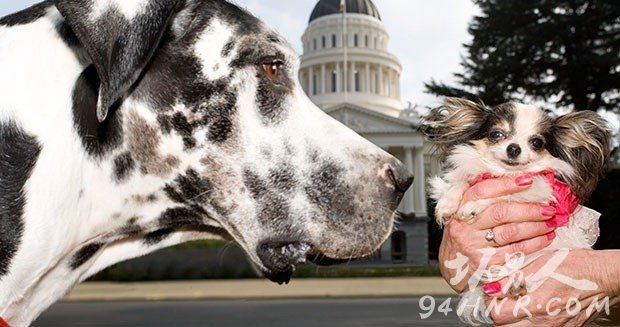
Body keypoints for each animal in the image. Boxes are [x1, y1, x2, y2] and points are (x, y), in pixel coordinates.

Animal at [422, 97, 612, 326]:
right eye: (496, 134)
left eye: (537, 142)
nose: (514, 148)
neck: (503, 173)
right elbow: (464, 182)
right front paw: (448, 202)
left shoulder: (538, 190)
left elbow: (505, 195)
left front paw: (474, 205)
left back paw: (514, 283)